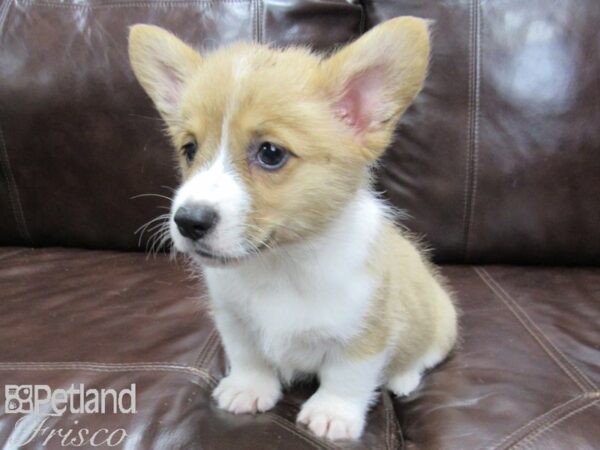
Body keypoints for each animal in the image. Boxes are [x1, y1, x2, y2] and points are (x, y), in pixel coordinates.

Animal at [126, 16, 454, 440]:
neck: (281, 263)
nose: (188, 221)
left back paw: (403, 378)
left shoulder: (366, 333)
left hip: (440, 320)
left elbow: (347, 377)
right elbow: (249, 357)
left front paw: (332, 414)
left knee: (425, 356)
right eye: (189, 149)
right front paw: (248, 389)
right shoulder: (234, 320)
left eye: (270, 153)